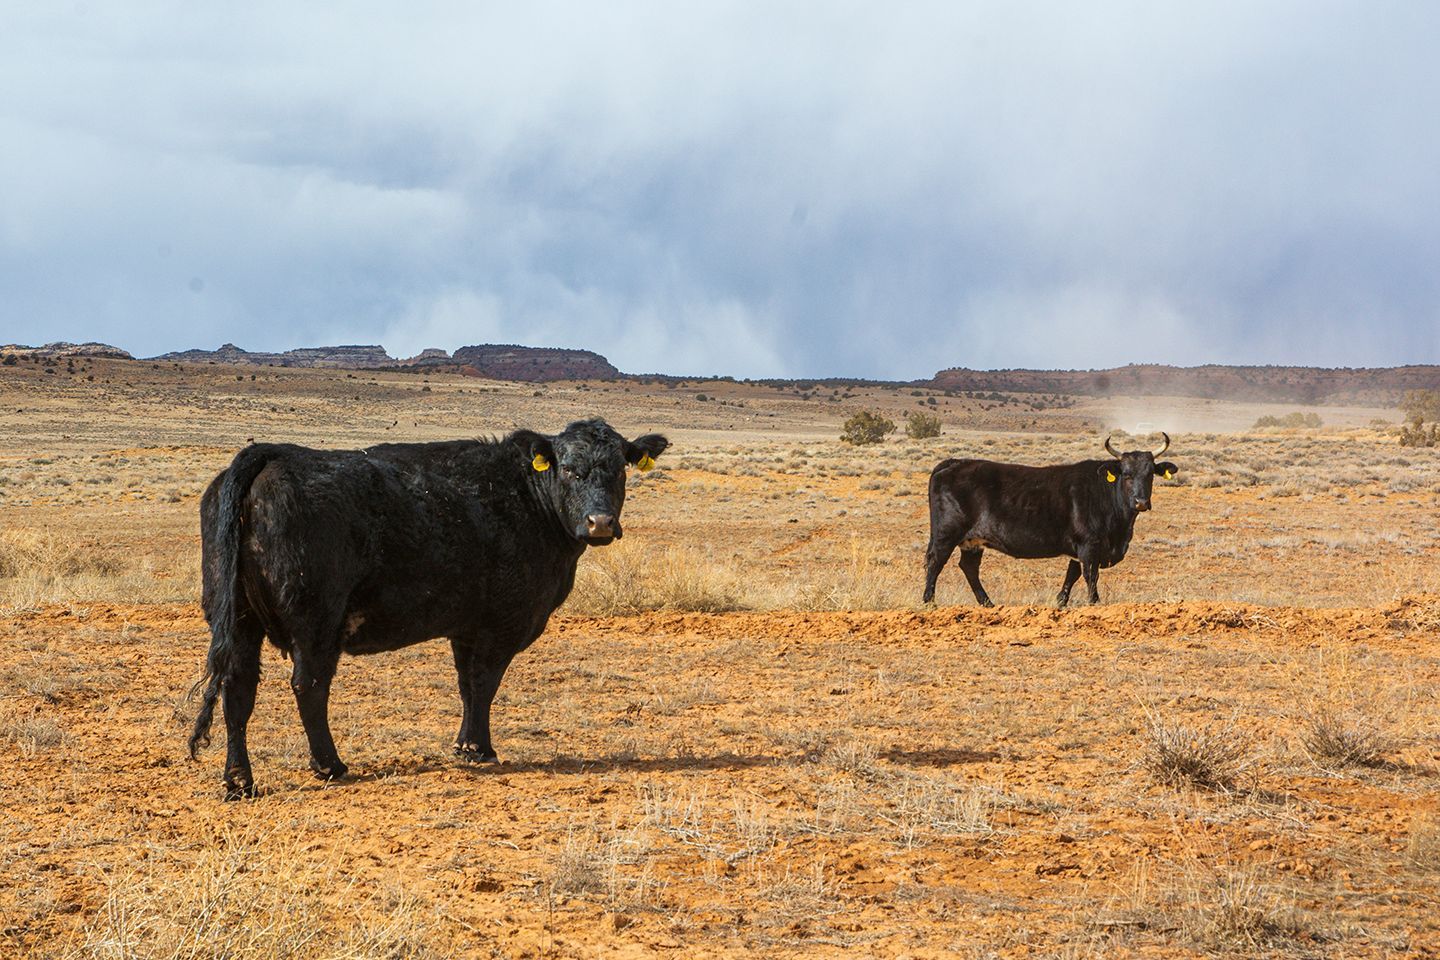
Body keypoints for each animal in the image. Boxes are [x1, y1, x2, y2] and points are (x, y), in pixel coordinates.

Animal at [188, 418, 669, 798]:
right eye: (569, 469)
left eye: (620, 469)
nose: (600, 523)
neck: (528, 500)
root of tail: (271, 455)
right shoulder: (501, 624)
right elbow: (484, 683)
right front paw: (480, 749)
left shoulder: (467, 626)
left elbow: (467, 685)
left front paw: (465, 745)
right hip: (314, 620)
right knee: (308, 686)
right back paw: (329, 765)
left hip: (237, 618)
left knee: (238, 688)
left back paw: (239, 781)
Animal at [922, 434, 1177, 607]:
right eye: (1126, 474)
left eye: (1150, 474)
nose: (1141, 502)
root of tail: (953, 462)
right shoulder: (1089, 545)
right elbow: (1090, 575)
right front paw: (1094, 602)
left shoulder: (1079, 549)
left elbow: (1072, 574)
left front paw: (1061, 601)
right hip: (947, 534)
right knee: (935, 562)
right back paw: (929, 602)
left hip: (973, 542)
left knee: (969, 568)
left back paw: (988, 603)